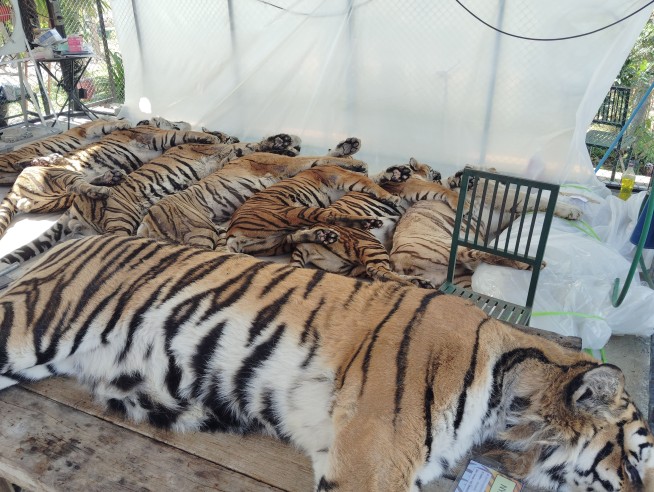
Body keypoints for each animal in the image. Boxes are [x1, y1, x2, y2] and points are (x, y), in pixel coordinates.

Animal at [0, 125, 229, 239]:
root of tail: (15, 189)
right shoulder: (158, 136)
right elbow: (185, 133)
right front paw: (212, 137)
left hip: (55, 197)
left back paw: (111, 177)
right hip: (59, 175)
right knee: (77, 183)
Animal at [137, 138, 366, 250]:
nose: (294, 146)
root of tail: (146, 223)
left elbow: (320, 157)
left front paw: (349, 147)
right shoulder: (287, 163)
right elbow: (317, 158)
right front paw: (357, 163)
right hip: (199, 232)